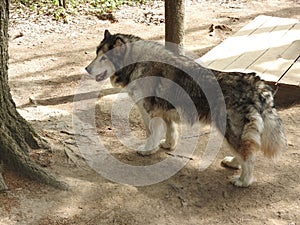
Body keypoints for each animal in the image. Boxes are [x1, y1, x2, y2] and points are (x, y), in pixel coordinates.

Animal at [85, 29, 286, 187]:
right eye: (96, 54)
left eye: (104, 58)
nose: (86, 69)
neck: (136, 63)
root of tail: (257, 84)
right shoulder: (165, 113)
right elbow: (171, 132)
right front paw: (167, 145)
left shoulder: (150, 112)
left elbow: (151, 134)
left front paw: (148, 149)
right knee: (245, 152)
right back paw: (233, 163)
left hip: (230, 130)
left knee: (248, 157)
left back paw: (243, 181)